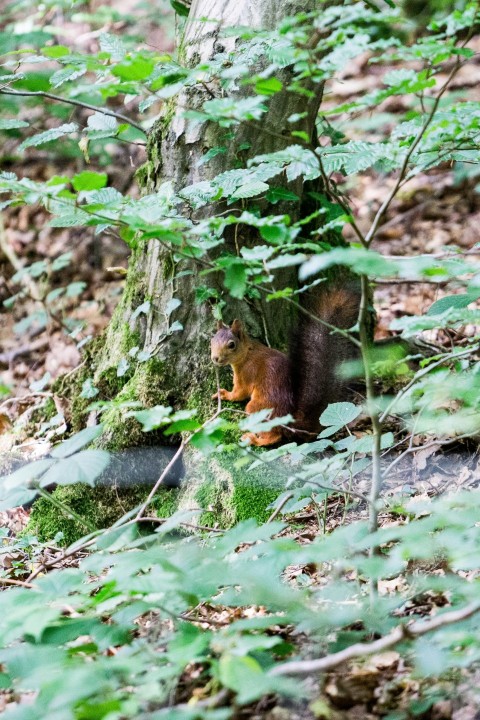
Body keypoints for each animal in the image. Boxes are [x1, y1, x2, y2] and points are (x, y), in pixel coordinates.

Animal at [211, 282, 360, 444]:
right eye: (212, 340)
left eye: (231, 345)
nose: (215, 358)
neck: (247, 353)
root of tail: (290, 420)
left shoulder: (247, 373)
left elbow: (239, 392)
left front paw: (225, 394)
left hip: (259, 409)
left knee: (273, 436)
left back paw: (254, 439)